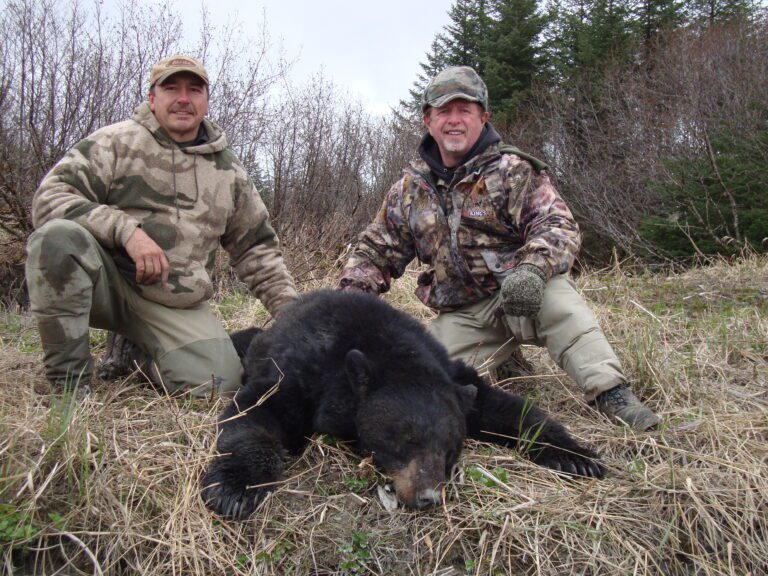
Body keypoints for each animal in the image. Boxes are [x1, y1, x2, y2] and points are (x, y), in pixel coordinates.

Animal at [201, 290, 604, 520]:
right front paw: (234, 490)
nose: (429, 497)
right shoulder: (302, 375)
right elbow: (256, 413)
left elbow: (507, 409)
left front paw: (576, 455)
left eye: (450, 449)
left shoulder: (453, 378)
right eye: (407, 440)